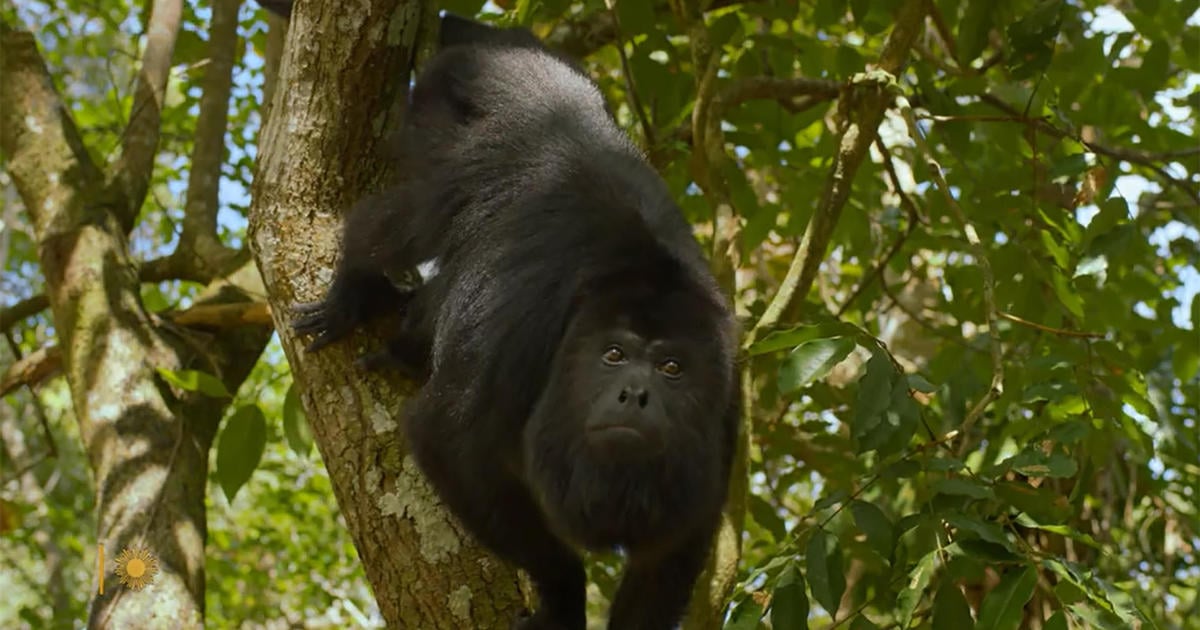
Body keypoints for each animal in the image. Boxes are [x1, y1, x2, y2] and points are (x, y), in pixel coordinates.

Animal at [290, 9, 739, 628]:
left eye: (672, 367)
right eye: (614, 355)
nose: (635, 393)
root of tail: (513, 54)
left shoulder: (725, 410)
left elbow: (673, 553)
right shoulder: (524, 333)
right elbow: (444, 438)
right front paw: (564, 592)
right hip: (451, 121)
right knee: (405, 220)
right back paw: (357, 292)